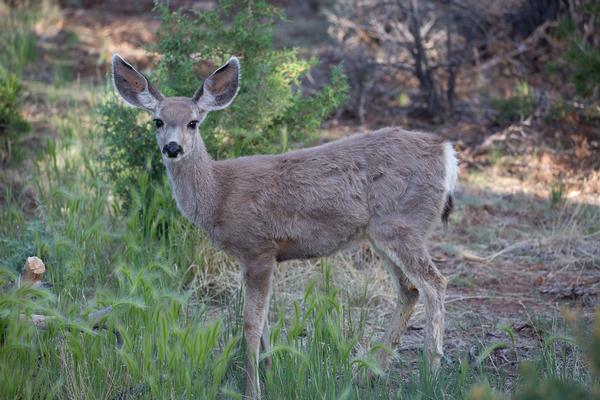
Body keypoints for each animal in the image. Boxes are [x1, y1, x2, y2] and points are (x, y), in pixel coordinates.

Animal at [112, 54, 458, 400]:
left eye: (193, 122)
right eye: (157, 121)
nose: (173, 148)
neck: (220, 194)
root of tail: (446, 153)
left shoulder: (259, 248)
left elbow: (250, 325)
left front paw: (252, 390)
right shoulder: (253, 258)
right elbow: (263, 323)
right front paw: (270, 374)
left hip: (402, 223)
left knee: (435, 283)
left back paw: (430, 373)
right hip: (381, 233)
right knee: (409, 289)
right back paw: (368, 374)